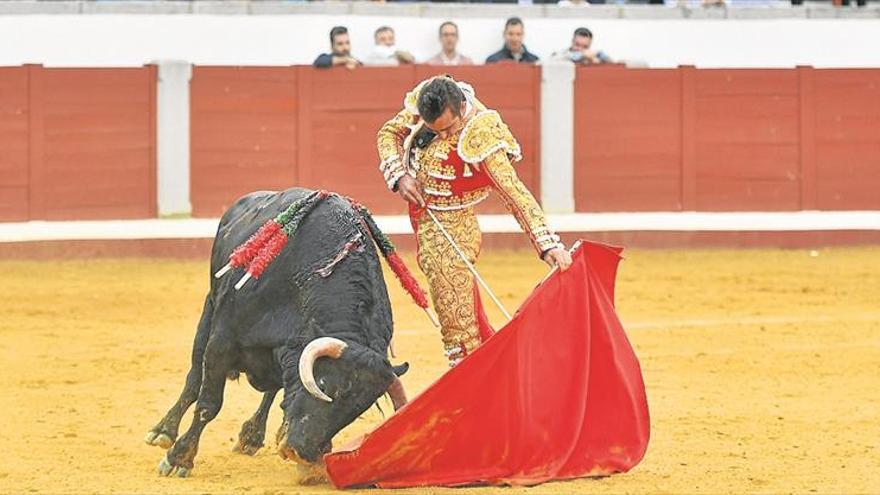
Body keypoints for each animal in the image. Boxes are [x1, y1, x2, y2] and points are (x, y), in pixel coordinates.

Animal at [146, 188, 410, 478]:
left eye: (356, 410)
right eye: (322, 385)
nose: (303, 453)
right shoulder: (222, 341)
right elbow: (208, 404)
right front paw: (179, 458)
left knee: (272, 389)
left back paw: (251, 436)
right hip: (209, 309)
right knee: (194, 378)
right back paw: (163, 431)